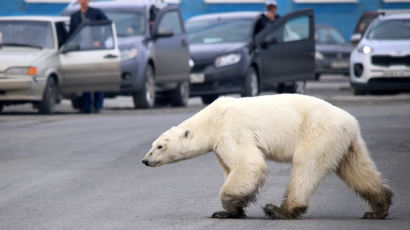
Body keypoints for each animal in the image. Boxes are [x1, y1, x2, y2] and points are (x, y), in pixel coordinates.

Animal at [143, 95, 392, 219]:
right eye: (153, 145)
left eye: (160, 146)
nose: (145, 160)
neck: (212, 119)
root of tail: (351, 121)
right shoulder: (219, 144)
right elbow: (231, 168)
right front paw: (230, 210)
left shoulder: (231, 131)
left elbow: (249, 164)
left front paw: (228, 207)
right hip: (345, 141)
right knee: (357, 170)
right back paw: (378, 208)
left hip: (319, 132)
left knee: (306, 166)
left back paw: (280, 210)